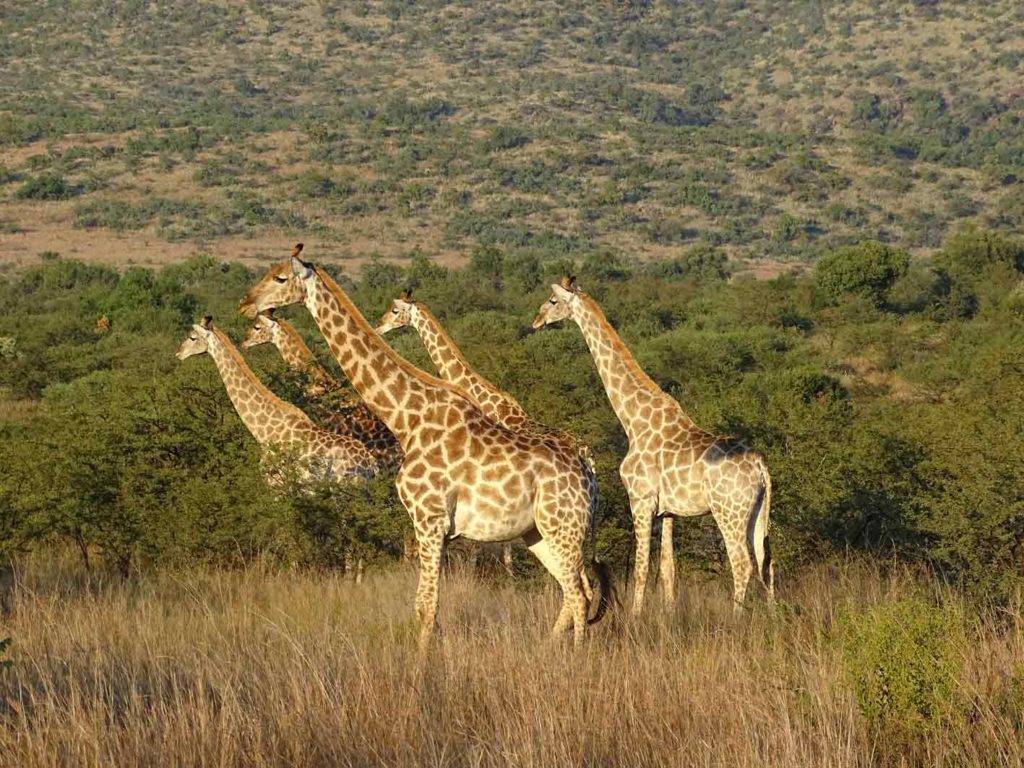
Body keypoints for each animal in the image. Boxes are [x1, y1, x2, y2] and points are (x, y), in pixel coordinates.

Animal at [532, 276, 770, 618]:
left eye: (552, 300)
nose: (536, 320)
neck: (634, 421)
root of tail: (760, 466)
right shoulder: (669, 511)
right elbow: (668, 569)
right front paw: (668, 617)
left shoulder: (640, 499)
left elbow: (641, 569)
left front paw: (635, 618)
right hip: (758, 511)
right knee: (766, 564)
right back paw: (774, 615)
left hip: (729, 511)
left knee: (742, 564)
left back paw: (736, 620)